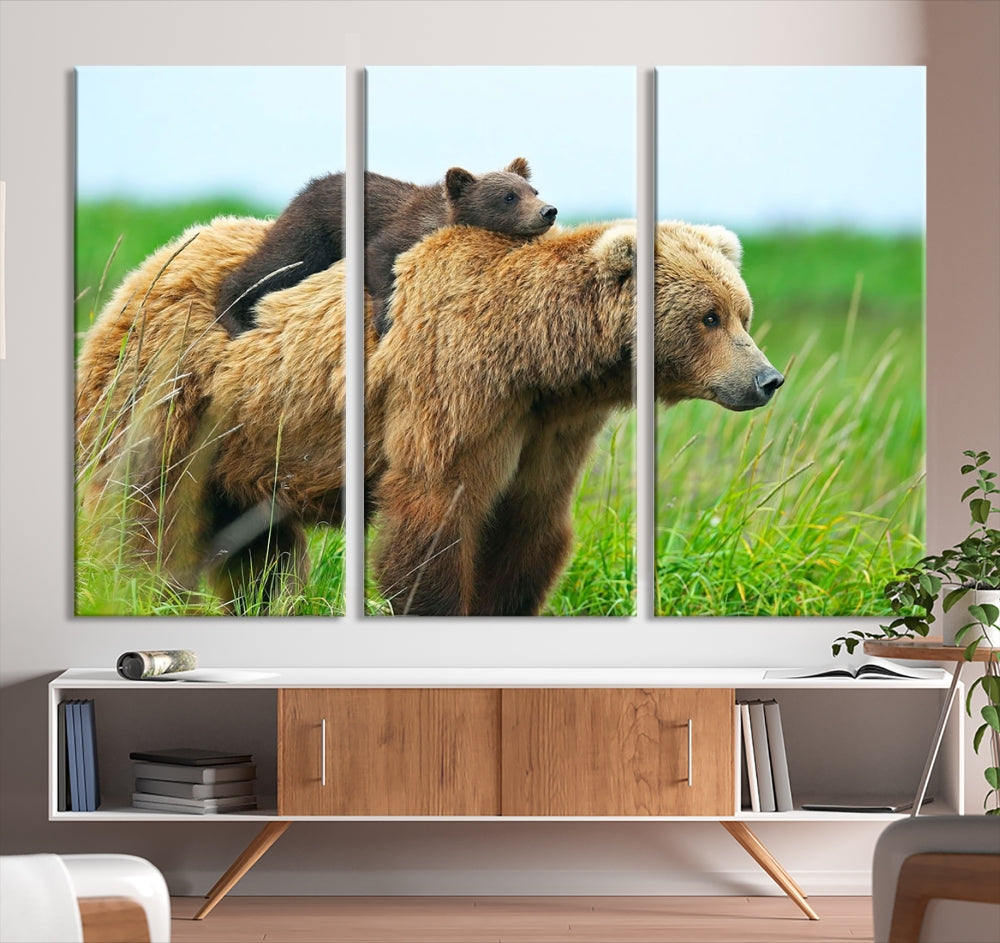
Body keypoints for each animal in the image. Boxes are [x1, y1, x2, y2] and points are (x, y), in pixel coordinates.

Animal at [75, 214, 783, 616]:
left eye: (742, 311)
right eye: (709, 316)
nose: (767, 379)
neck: (538, 358)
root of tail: (145, 268)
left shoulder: (548, 427)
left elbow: (529, 525)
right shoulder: (456, 387)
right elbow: (435, 512)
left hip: (246, 444)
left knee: (258, 547)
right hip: (169, 391)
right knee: (144, 507)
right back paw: (138, 594)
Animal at [214, 157, 558, 339]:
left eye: (533, 190)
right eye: (509, 197)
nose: (548, 211)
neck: (440, 218)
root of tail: (307, 187)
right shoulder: (400, 229)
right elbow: (379, 258)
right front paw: (384, 319)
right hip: (312, 231)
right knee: (277, 263)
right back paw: (234, 317)